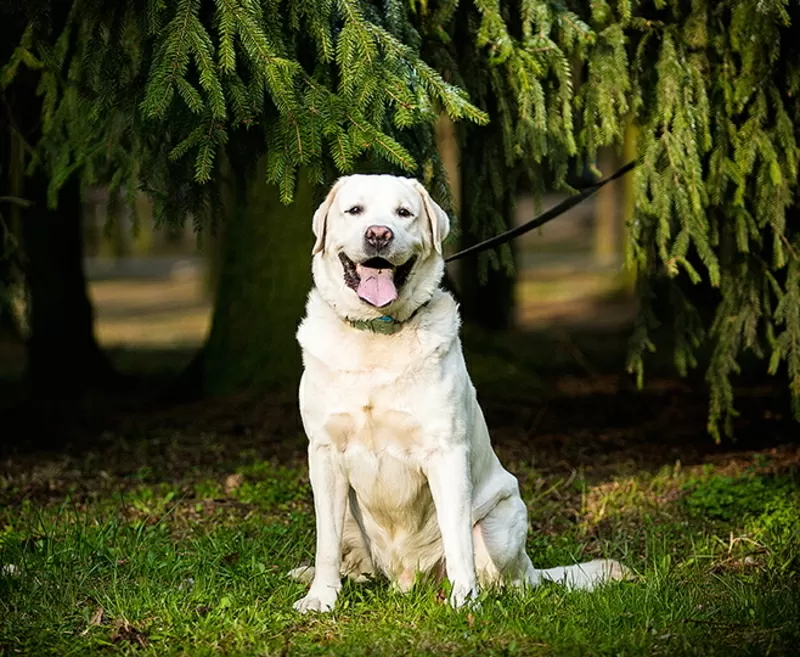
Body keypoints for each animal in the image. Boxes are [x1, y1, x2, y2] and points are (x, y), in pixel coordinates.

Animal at [290, 173, 628, 608]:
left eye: (404, 213)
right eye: (355, 210)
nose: (379, 234)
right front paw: (321, 598)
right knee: (356, 560)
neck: (378, 333)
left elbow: (457, 542)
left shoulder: (446, 453)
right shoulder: (325, 453)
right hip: (352, 514)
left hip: (504, 516)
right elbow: (326, 543)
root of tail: (403, 580)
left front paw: (464, 603)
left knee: (508, 578)